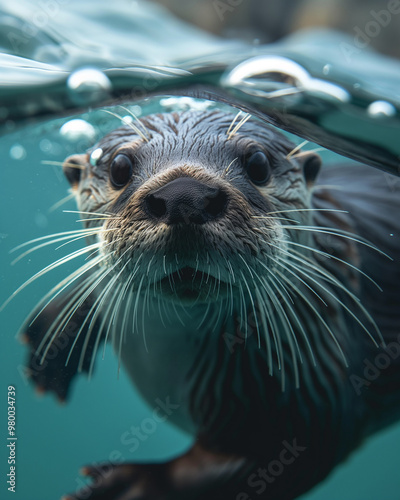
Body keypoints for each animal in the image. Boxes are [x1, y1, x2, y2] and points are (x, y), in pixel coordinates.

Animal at [19, 110, 400, 500]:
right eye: (119, 167)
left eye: (258, 163)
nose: (184, 196)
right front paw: (53, 344)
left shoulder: (317, 390)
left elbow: (298, 449)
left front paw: (129, 485)